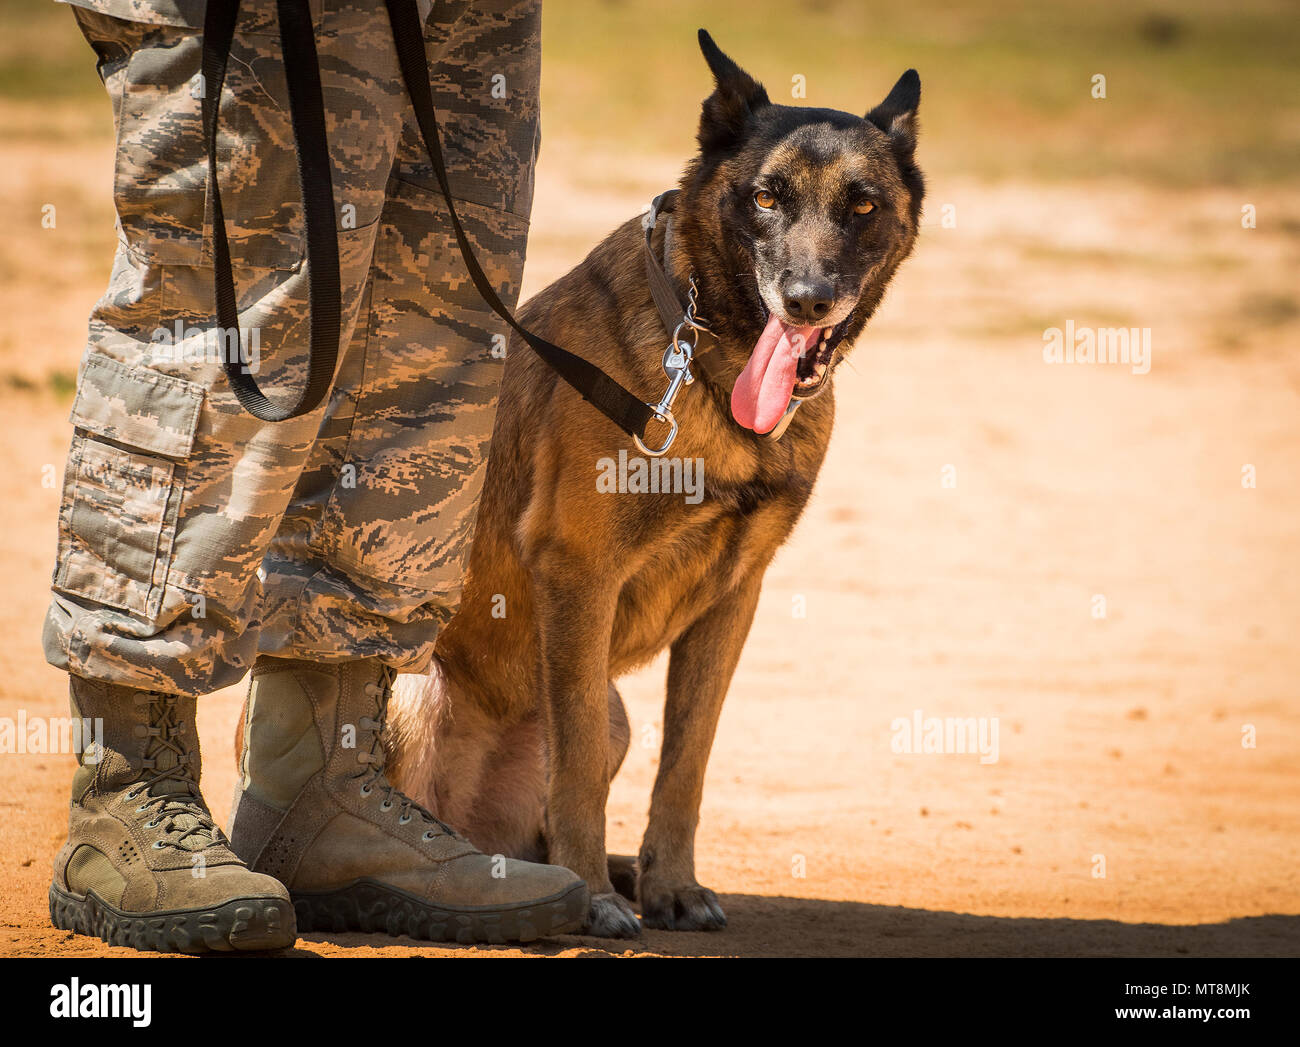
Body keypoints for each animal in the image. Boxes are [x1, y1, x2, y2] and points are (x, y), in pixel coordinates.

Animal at [384, 28, 925, 936]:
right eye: (766, 197)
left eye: (861, 206)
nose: (808, 301)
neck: (710, 363)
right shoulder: (579, 575)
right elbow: (575, 777)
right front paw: (592, 899)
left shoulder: (733, 600)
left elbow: (688, 762)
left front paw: (671, 882)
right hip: (416, 691)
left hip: (614, 714)